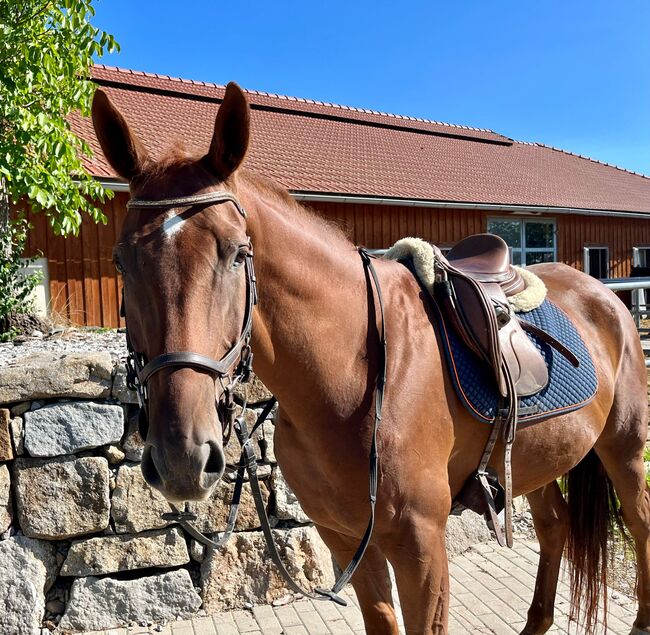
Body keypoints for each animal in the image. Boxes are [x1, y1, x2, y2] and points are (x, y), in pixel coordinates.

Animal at [90, 84, 648, 635]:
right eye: (120, 260)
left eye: (236, 253)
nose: (181, 459)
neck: (351, 382)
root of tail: (607, 294)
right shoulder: (345, 539)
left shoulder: (422, 550)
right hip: (541, 456)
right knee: (554, 526)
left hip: (622, 447)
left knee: (639, 519)